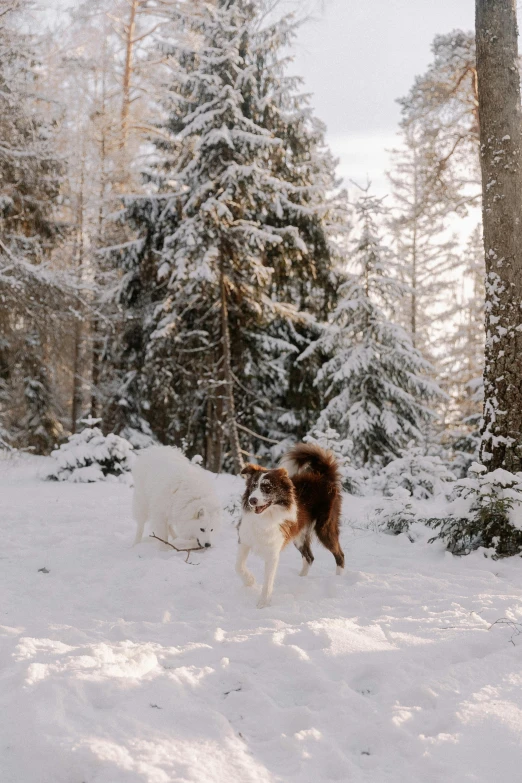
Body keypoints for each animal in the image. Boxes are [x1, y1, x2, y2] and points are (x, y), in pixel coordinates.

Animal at [235, 444, 342, 608]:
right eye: (253, 486)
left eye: (267, 488)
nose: (252, 500)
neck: (264, 517)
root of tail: (324, 476)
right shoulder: (245, 540)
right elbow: (238, 566)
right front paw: (249, 581)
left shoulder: (273, 551)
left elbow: (268, 580)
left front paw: (263, 602)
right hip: (299, 536)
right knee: (309, 557)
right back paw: (301, 579)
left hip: (325, 528)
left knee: (339, 555)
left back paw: (339, 580)